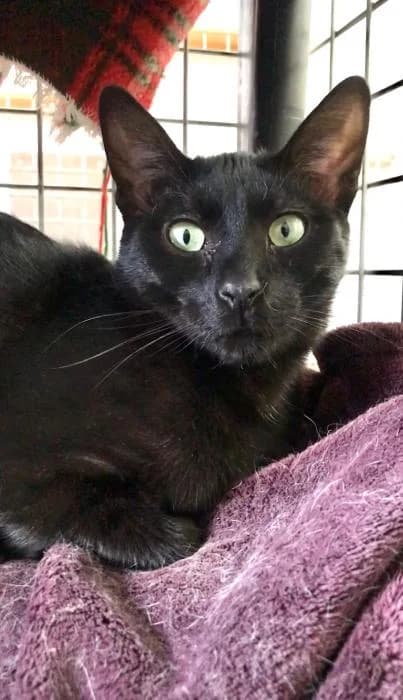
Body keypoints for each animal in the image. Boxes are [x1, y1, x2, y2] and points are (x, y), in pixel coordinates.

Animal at [0, 76, 369, 569]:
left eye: (286, 230)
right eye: (186, 236)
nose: (240, 290)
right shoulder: (20, 467)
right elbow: (149, 531)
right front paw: (176, 532)